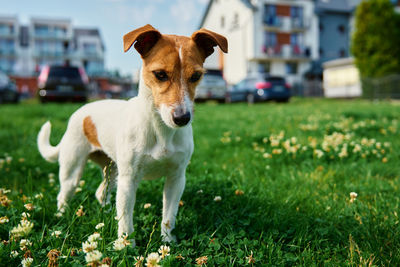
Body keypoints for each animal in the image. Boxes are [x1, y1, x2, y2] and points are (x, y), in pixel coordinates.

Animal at [37, 24, 228, 246]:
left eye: (196, 76)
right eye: (160, 74)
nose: (182, 118)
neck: (160, 129)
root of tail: (81, 112)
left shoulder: (176, 178)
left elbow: (168, 216)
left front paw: (168, 241)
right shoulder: (129, 179)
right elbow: (126, 219)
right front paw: (126, 245)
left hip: (112, 171)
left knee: (101, 193)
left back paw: (107, 213)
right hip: (74, 170)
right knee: (64, 194)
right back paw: (61, 217)